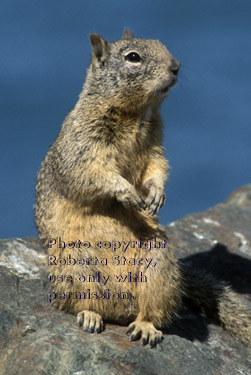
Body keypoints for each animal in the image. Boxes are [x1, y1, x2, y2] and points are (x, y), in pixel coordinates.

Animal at [34, 30, 249, 350]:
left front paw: (156, 194)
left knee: (152, 311)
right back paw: (91, 316)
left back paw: (145, 327)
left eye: (163, 45)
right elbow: (92, 173)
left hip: (157, 261)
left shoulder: (156, 146)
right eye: (133, 57)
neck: (136, 114)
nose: (176, 67)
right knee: (82, 302)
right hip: (76, 262)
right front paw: (127, 192)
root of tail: (120, 308)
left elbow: (158, 168)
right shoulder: (84, 145)